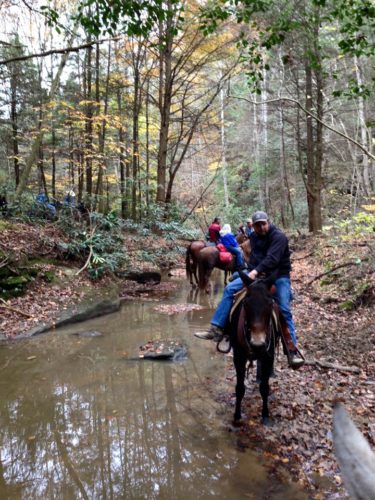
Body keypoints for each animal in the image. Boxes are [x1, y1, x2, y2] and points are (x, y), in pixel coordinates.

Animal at [229, 274, 280, 426]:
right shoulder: (238, 356)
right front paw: (237, 416)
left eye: (270, 303)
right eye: (245, 304)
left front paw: (265, 415)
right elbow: (240, 388)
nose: (257, 344)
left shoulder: (268, 355)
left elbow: (265, 388)